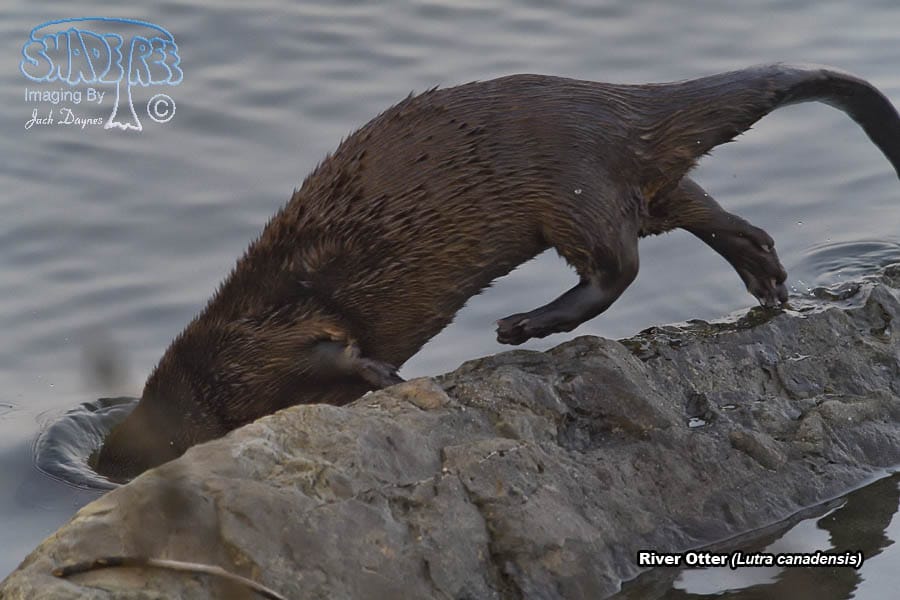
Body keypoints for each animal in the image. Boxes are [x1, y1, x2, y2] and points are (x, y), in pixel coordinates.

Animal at [95, 63, 900, 482]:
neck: (209, 370)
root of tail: (617, 104)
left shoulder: (267, 339)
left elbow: (340, 352)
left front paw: (389, 378)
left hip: (571, 187)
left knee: (619, 266)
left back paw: (522, 325)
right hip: (641, 186)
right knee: (713, 215)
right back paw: (765, 278)